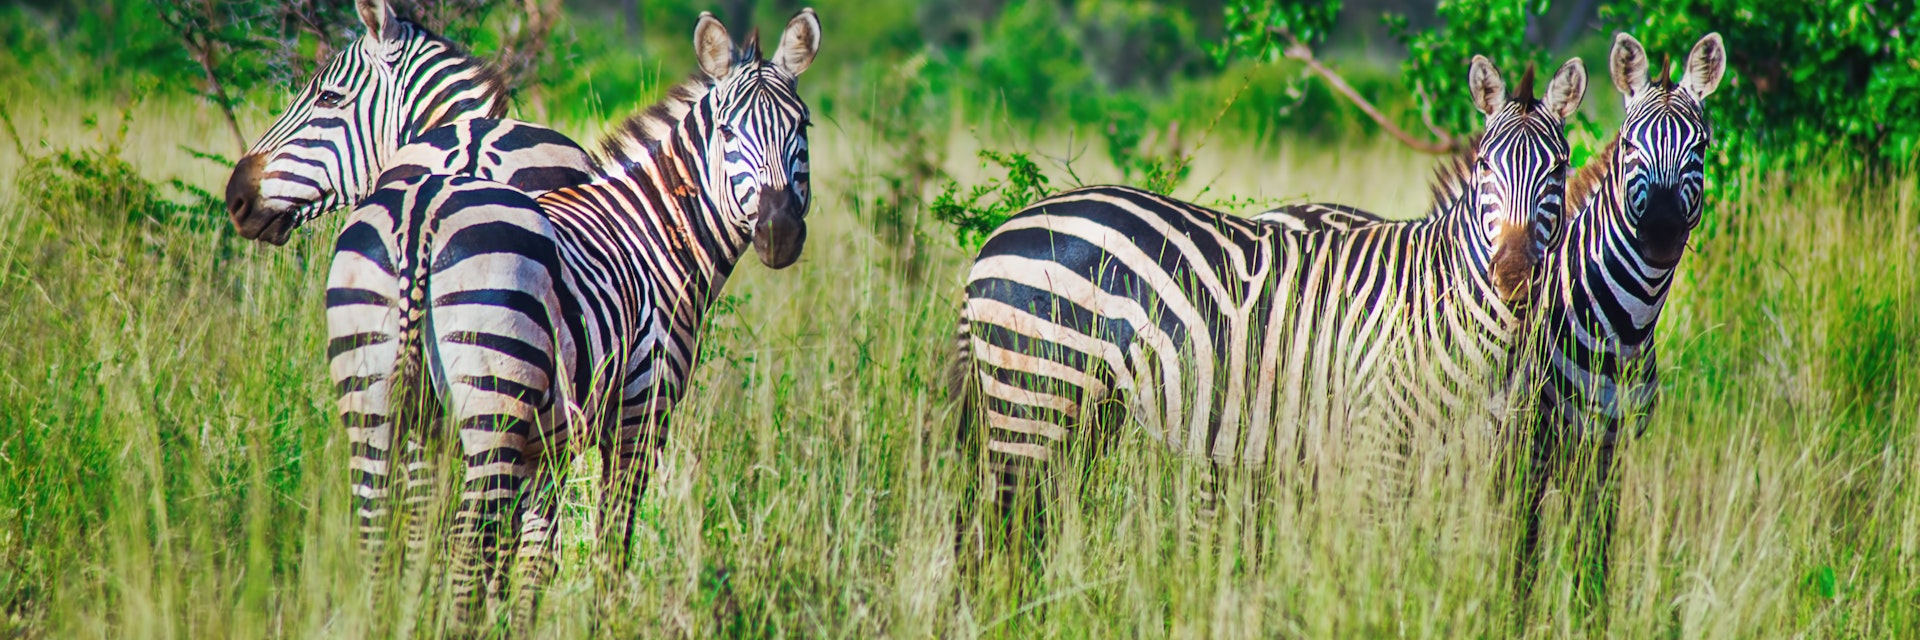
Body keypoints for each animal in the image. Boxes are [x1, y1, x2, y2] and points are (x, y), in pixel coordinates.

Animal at [325, 9, 821, 626]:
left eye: (803, 127)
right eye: (727, 132)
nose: (780, 232)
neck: (656, 231)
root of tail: (421, 212)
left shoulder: (546, 442)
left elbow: (535, 554)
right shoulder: (639, 413)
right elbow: (611, 541)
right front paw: (607, 619)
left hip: (371, 395)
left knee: (378, 536)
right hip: (492, 403)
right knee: (464, 545)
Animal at [952, 56, 1587, 543]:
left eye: (1560, 168)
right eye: (1483, 165)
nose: (1513, 276)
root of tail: (1000, 230)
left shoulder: (1473, 460)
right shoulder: (1380, 438)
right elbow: (1378, 561)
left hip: (1085, 412)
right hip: (1031, 396)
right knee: (1000, 531)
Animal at [1255, 33, 1726, 613]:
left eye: (1701, 148)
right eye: (1630, 150)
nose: (1659, 233)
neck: (1616, 328)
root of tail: (1282, 211)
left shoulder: (1606, 456)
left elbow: (1594, 568)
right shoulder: (1523, 454)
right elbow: (1518, 562)